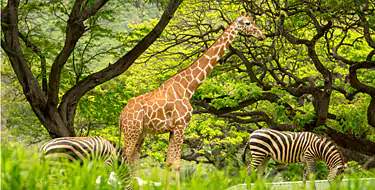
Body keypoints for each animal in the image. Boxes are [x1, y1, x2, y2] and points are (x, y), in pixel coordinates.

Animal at [119, 11, 266, 187]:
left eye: (253, 21)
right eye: (247, 23)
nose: (262, 35)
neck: (188, 87)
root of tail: (121, 116)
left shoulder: (173, 129)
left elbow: (169, 162)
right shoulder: (180, 125)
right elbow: (176, 163)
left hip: (141, 133)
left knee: (133, 160)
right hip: (132, 131)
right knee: (124, 158)